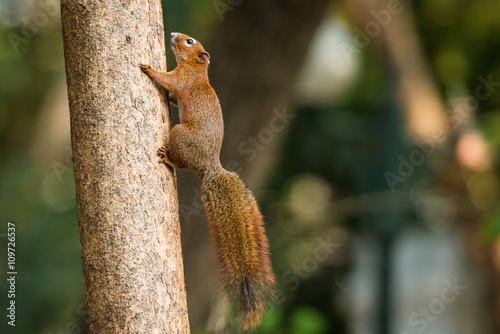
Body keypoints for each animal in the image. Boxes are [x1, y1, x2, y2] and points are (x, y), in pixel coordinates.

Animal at [139, 32, 276, 330]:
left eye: (190, 41)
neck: (198, 69)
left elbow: (169, 81)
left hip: (179, 134)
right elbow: (173, 94)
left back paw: (168, 157)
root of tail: (209, 166)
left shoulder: (184, 78)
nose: (173, 34)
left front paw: (150, 70)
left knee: (179, 161)